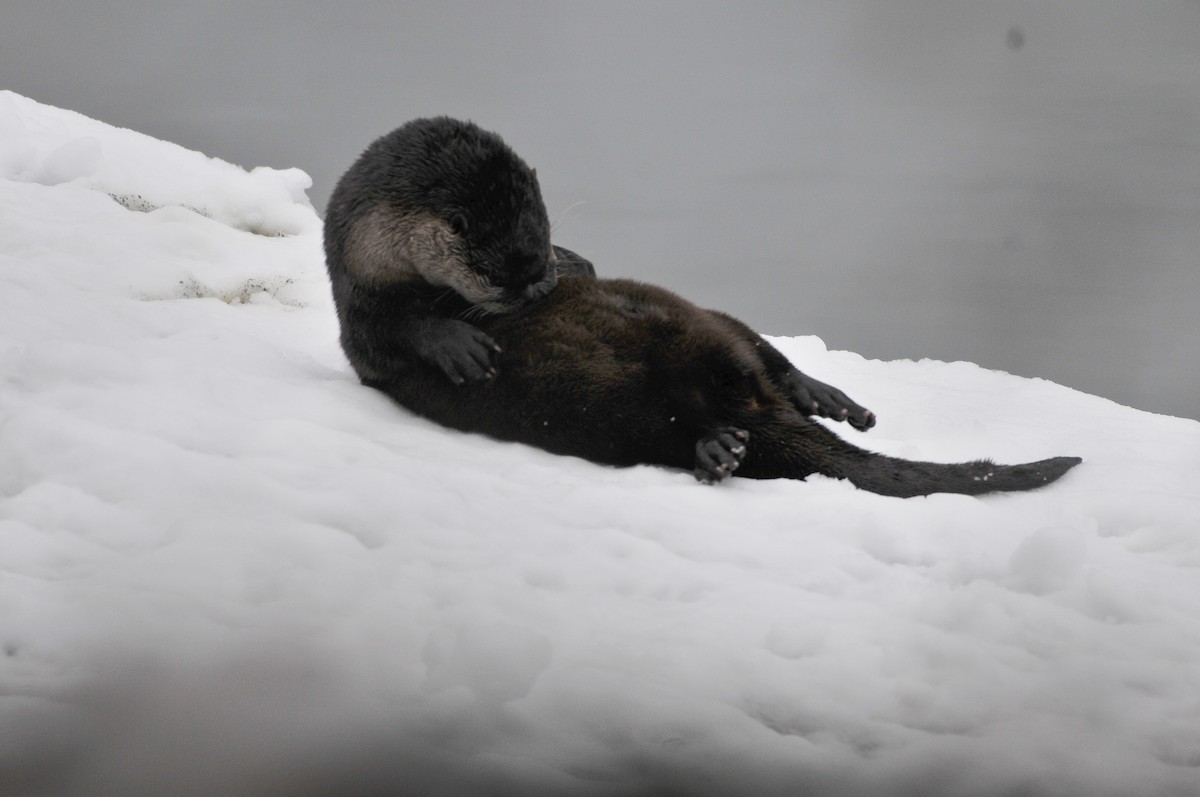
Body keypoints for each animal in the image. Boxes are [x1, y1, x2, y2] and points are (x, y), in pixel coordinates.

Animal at [324, 119, 1081, 497]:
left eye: (537, 254)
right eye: (504, 275)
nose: (541, 286)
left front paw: (574, 265)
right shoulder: (359, 309)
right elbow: (389, 329)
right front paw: (456, 342)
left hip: (705, 323)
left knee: (756, 350)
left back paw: (820, 396)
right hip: (604, 408)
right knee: (674, 415)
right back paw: (718, 446)